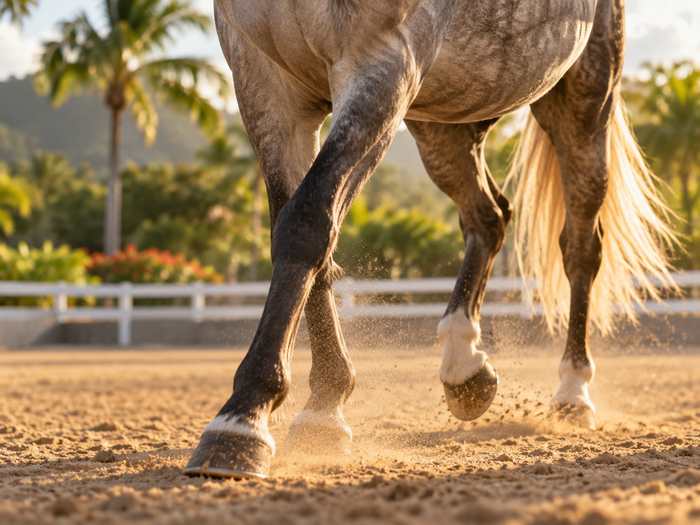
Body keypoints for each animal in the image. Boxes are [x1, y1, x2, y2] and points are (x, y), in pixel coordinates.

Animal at [183, 0, 677, 479]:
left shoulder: (382, 67)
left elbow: (306, 224)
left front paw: (243, 420)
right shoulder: (263, 80)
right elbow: (309, 242)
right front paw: (323, 409)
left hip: (583, 104)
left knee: (580, 247)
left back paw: (572, 392)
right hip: (450, 114)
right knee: (489, 217)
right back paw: (465, 365)